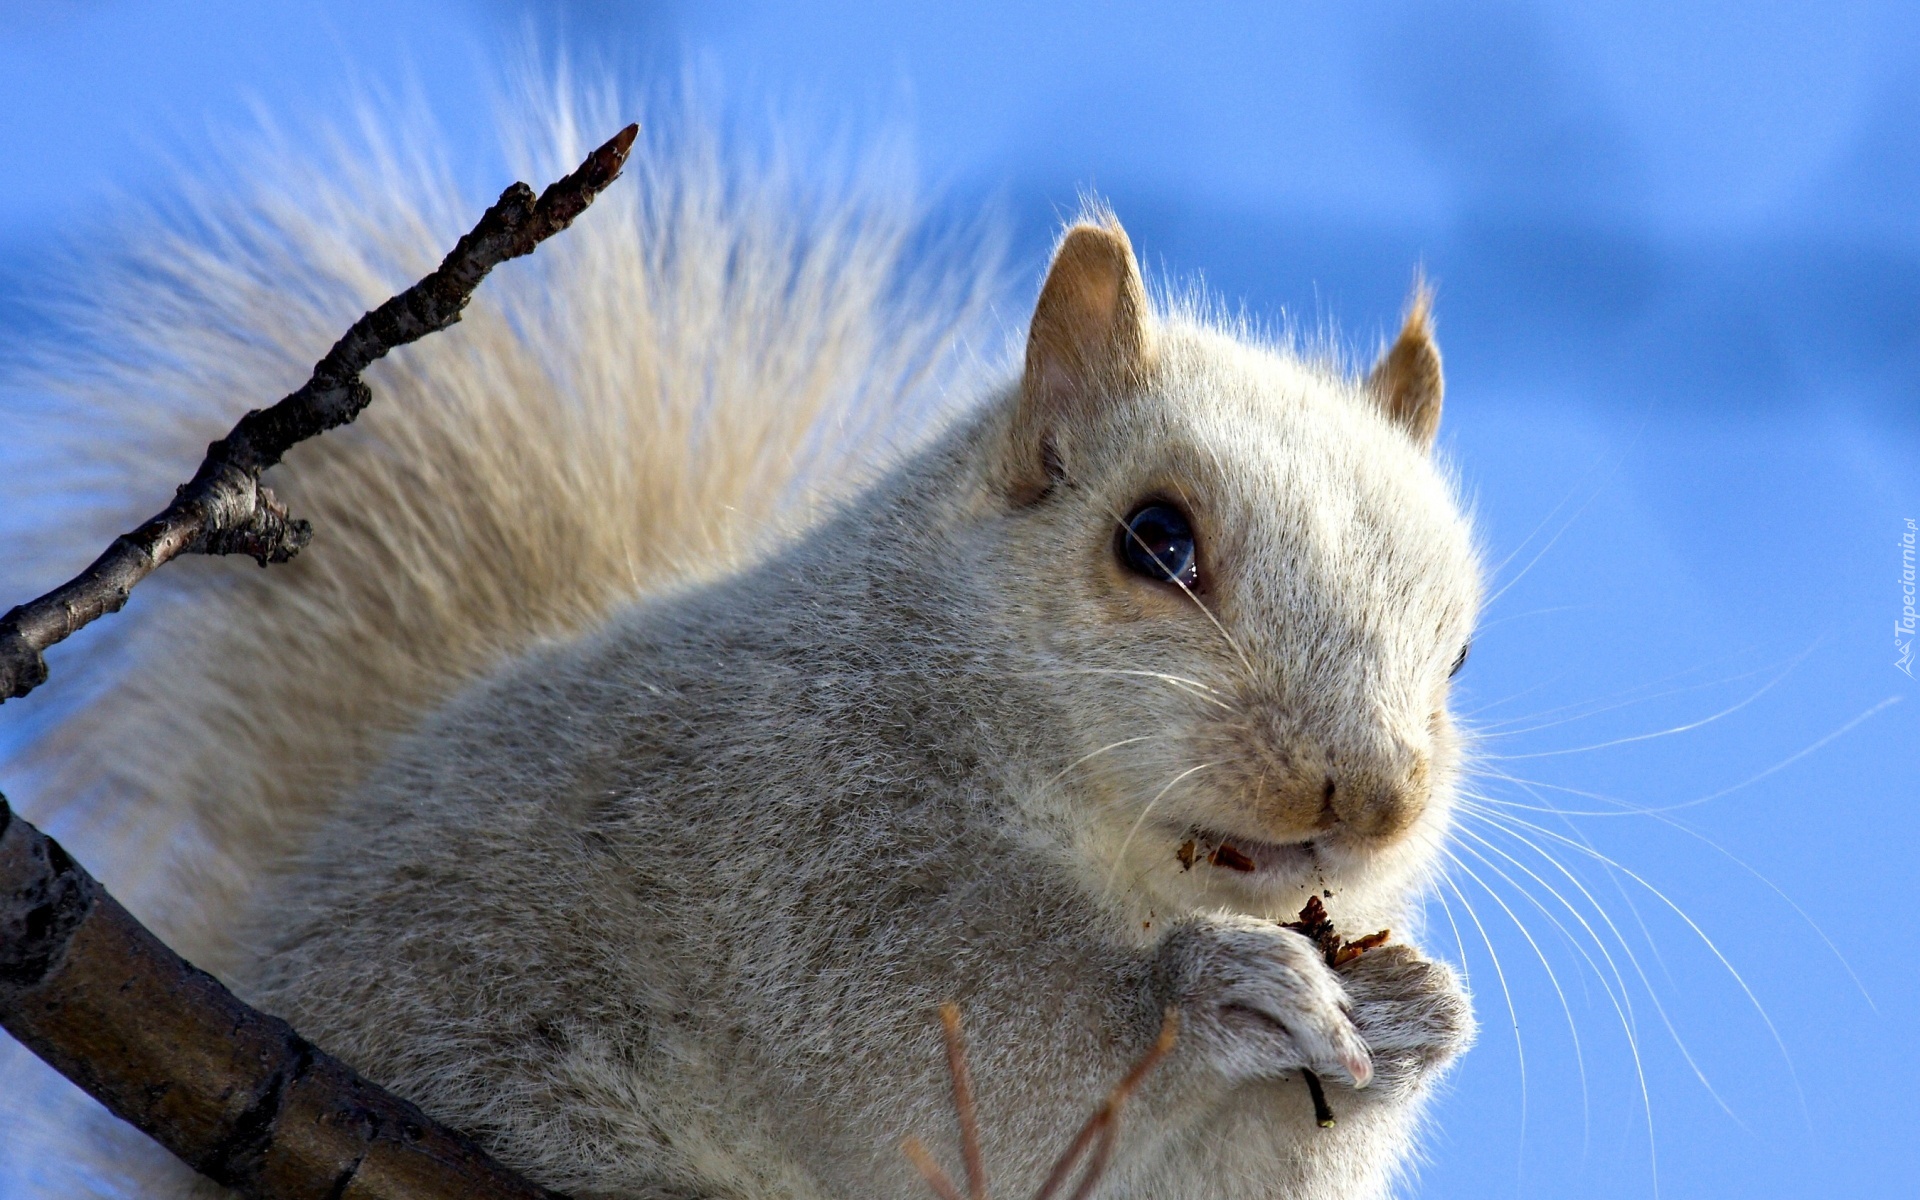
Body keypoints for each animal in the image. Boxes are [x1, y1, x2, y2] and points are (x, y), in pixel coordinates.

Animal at [0, 86, 1474, 1198]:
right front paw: (1210, 996)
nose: (1368, 797)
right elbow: (930, 1054)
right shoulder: (781, 830)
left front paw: (1410, 1018)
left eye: (1457, 658)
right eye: (1155, 540)